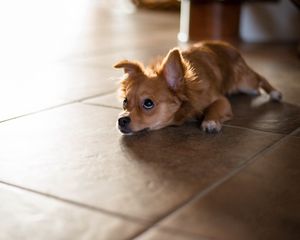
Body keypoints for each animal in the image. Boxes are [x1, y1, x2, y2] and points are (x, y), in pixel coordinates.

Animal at [113, 41, 282, 135]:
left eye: (148, 103)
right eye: (125, 102)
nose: (121, 120)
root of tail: (228, 45)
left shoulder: (222, 101)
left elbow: (214, 107)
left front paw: (210, 122)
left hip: (245, 82)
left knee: (260, 77)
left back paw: (275, 93)